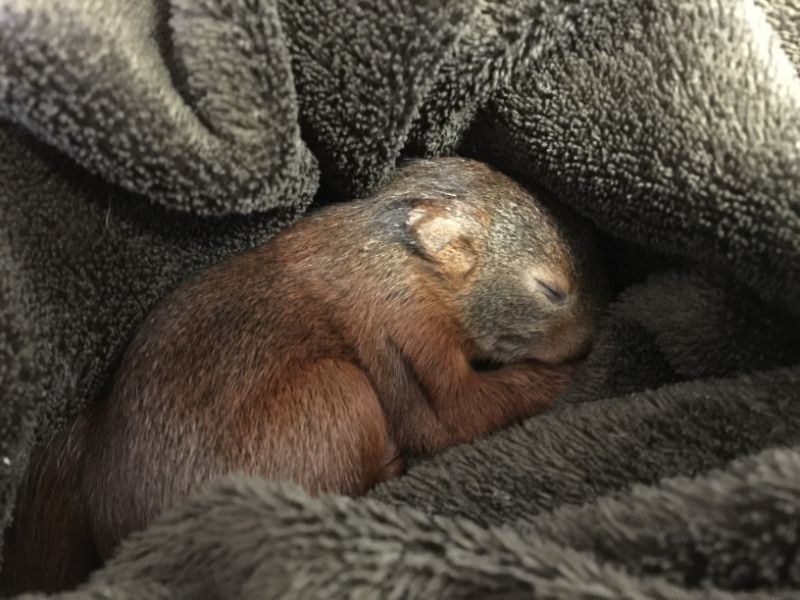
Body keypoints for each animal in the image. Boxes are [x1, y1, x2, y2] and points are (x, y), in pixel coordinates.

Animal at [1, 157, 608, 595]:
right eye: (551, 290)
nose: (593, 333)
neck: (404, 257)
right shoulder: (409, 332)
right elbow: (455, 416)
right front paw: (566, 375)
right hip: (342, 388)